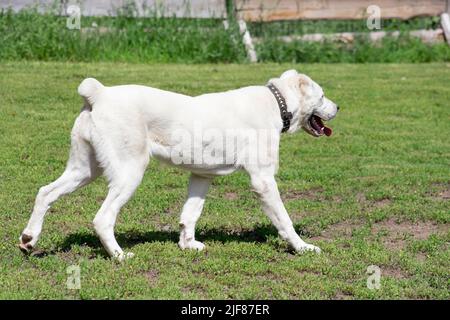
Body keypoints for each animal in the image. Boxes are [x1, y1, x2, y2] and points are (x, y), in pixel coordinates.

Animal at [19, 69, 340, 260]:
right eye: (323, 95)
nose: (338, 107)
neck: (278, 103)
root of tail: (100, 93)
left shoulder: (201, 176)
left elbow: (190, 213)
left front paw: (188, 245)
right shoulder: (263, 180)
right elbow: (284, 220)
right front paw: (303, 247)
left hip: (84, 170)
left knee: (45, 192)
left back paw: (29, 239)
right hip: (129, 173)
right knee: (102, 218)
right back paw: (119, 256)